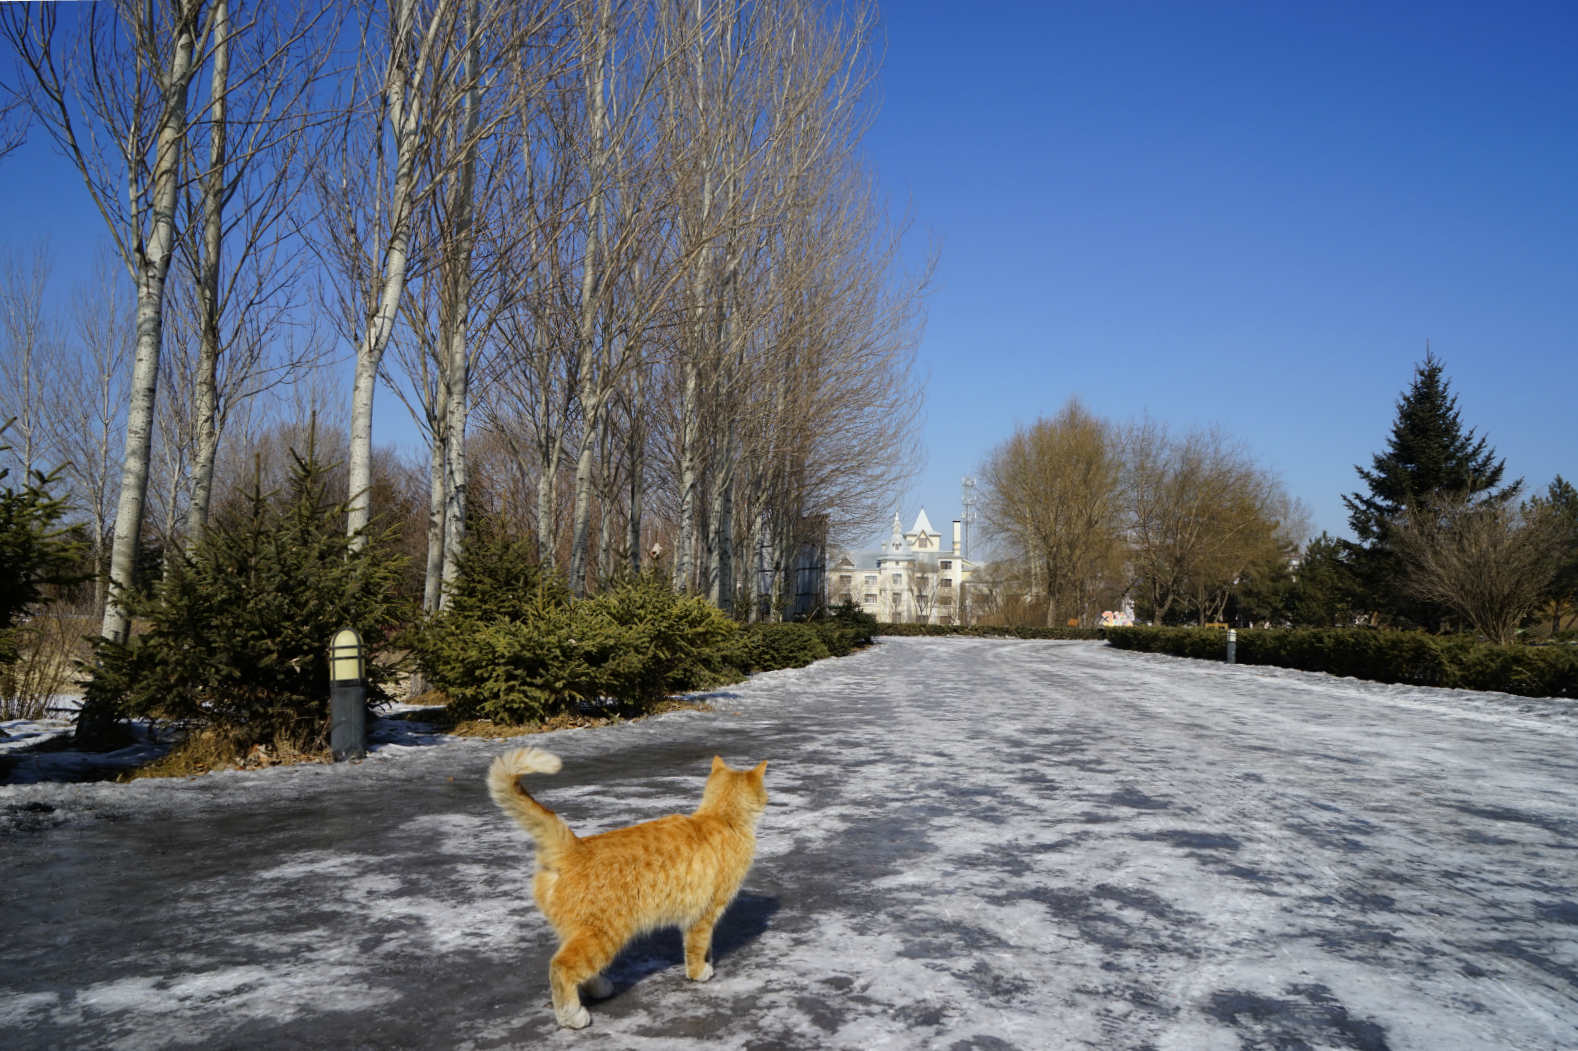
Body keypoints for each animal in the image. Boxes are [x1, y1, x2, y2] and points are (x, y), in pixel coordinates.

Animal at [486, 744, 770, 1022]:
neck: (721, 817)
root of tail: (574, 847)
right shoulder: (705, 913)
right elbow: (697, 946)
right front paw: (700, 971)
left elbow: (704, 944)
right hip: (604, 934)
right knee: (562, 967)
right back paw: (573, 1016)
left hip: (577, 932)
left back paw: (599, 988)